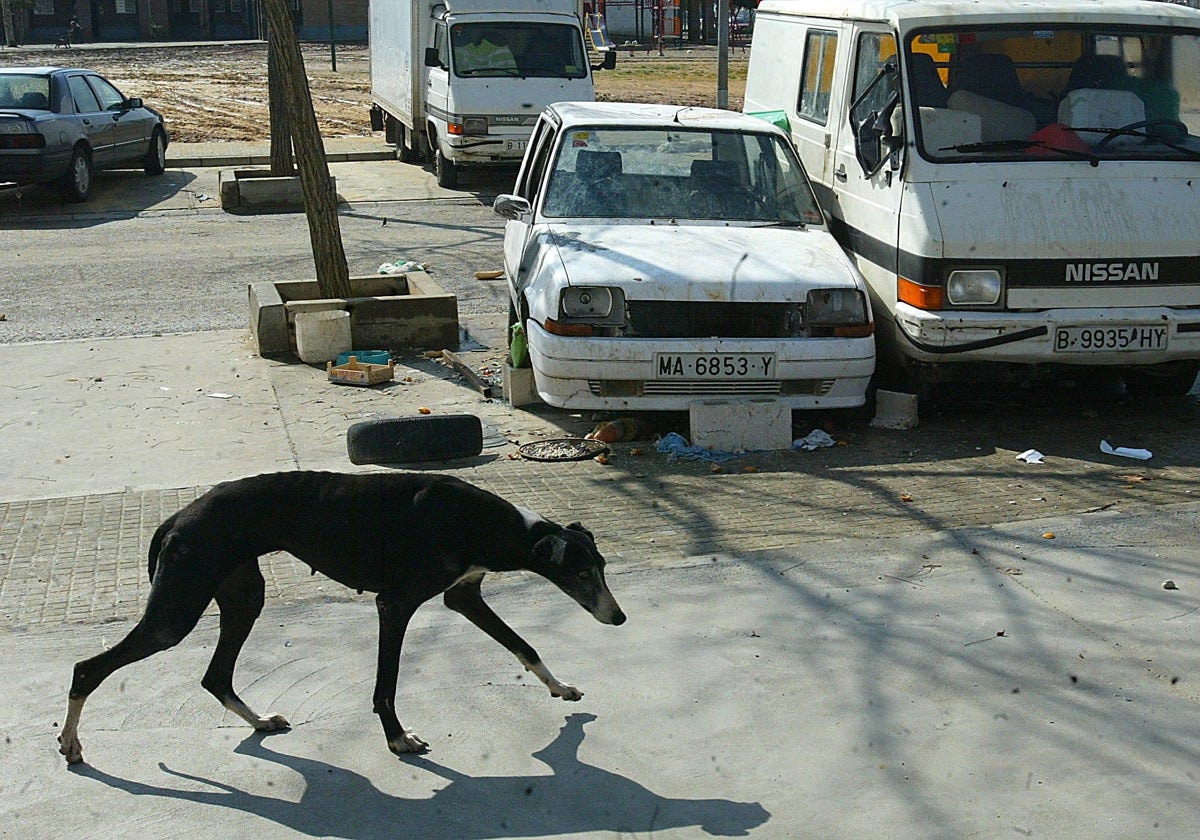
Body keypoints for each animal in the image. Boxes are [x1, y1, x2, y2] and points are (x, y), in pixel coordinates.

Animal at [59, 470, 624, 763]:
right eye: (580, 573)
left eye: (601, 567)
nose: (618, 619)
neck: (481, 521)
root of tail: (176, 516)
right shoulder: (395, 604)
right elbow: (386, 685)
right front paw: (398, 738)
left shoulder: (463, 596)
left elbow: (524, 645)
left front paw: (561, 688)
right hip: (174, 616)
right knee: (87, 669)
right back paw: (70, 742)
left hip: (243, 597)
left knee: (215, 676)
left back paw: (260, 720)